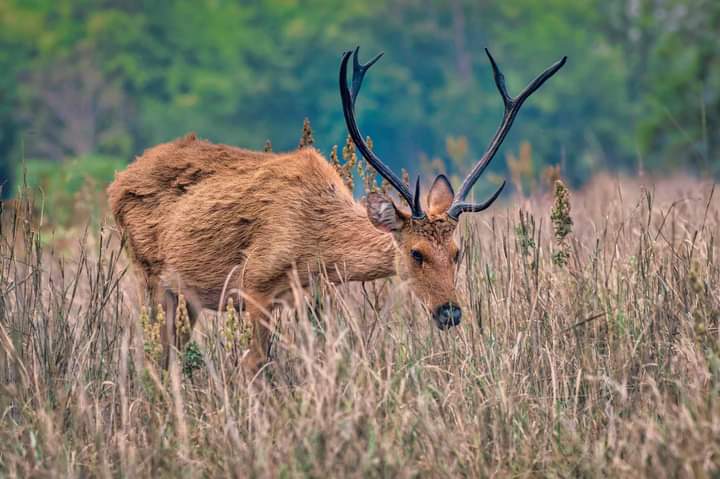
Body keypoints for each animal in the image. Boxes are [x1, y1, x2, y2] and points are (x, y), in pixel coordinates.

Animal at [108, 47, 568, 374]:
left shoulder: (304, 295)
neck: (315, 244)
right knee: (155, 355)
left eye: (458, 252)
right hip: (150, 273)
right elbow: (253, 363)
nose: (450, 313)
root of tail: (117, 182)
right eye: (416, 253)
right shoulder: (254, 283)